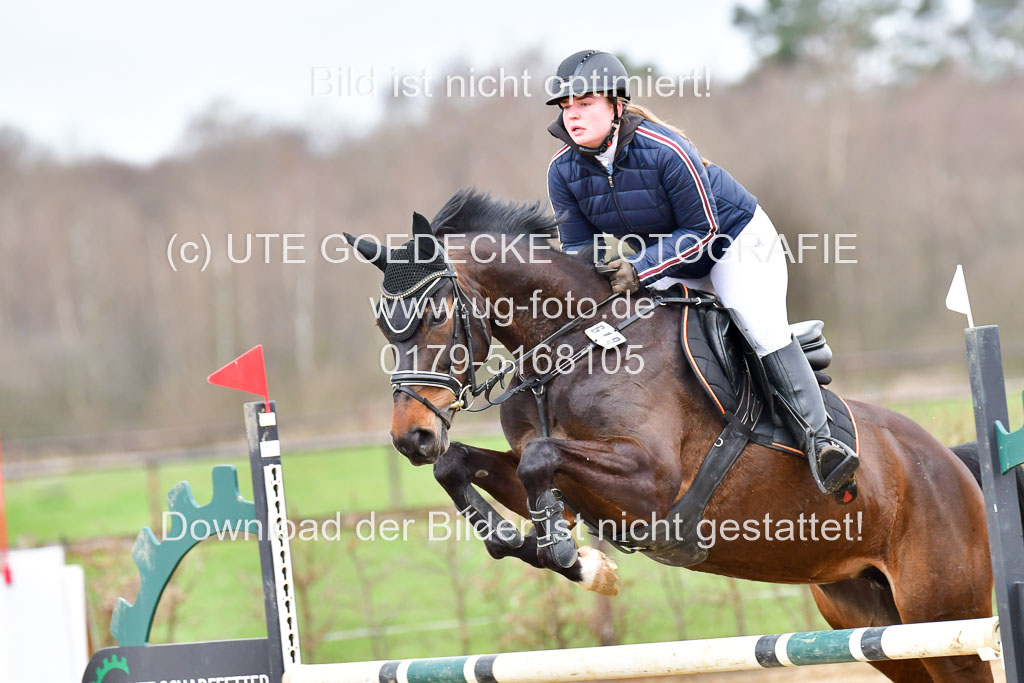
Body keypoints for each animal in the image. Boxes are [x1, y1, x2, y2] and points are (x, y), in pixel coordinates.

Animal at [345, 189, 995, 682]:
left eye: (435, 315)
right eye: (383, 325)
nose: (410, 437)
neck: (574, 346)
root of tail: (952, 464)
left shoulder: (651, 483)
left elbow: (539, 459)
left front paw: (574, 560)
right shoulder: (580, 489)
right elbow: (462, 465)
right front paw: (553, 552)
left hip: (945, 617)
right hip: (873, 620)